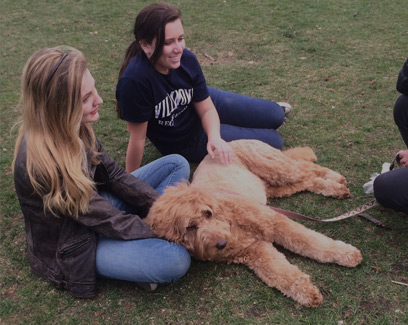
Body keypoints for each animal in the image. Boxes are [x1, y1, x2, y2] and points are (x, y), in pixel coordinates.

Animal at [145, 139, 362, 306]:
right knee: (306, 181)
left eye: (207, 214)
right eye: (190, 227)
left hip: (277, 168)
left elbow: (311, 242)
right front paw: (306, 292)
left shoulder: (275, 222)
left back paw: (335, 179)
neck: (229, 221)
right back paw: (333, 187)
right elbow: (281, 273)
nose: (222, 244)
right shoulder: (256, 251)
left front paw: (347, 254)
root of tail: (232, 141)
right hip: (274, 186)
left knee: (307, 168)